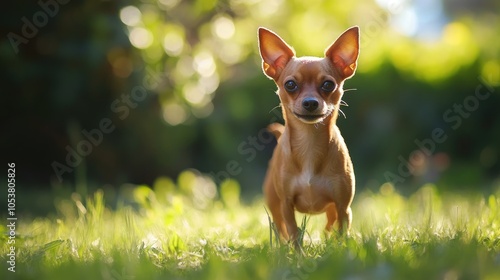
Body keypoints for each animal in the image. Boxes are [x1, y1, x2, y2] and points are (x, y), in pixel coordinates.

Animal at [258, 26, 360, 245]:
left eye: (328, 85)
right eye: (290, 85)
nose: (311, 102)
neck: (309, 141)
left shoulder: (343, 207)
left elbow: (342, 232)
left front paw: (340, 250)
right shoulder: (286, 206)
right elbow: (294, 233)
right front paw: (297, 253)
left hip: (332, 210)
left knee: (329, 226)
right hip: (274, 205)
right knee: (279, 228)